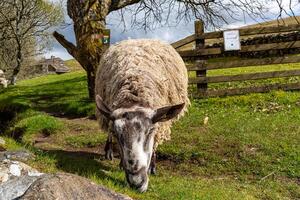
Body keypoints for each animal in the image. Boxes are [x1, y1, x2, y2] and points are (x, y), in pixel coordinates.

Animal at [95, 39, 189, 192]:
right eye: (117, 134)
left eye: (150, 131)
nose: (136, 183)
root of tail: (133, 39)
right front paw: (121, 164)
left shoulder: (159, 125)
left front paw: (153, 167)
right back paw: (108, 152)